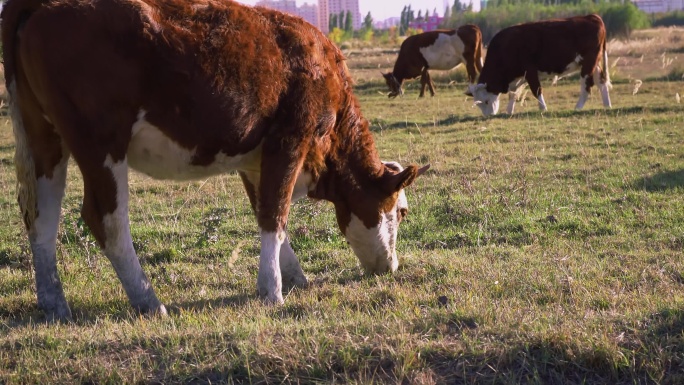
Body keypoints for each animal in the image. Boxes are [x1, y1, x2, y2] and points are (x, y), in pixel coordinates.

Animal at [1, 0, 428, 320]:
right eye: (401, 211)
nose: (391, 267)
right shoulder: (290, 140)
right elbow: (276, 215)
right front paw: (272, 290)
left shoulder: (255, 159)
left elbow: (267, 212)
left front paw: (294, 276)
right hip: (100, 141)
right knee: (105, 218)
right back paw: (148, 301)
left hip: (45, 140)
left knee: (41, 218)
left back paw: (54, 304)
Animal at [468, 14, 612, 115]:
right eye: (479, 104)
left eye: (486, 101)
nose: (489, 115)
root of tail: (592, 16)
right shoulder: (519, 76)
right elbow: (514, 93)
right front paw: (509, 110)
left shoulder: (530, 71)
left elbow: (536, 89)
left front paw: (543, 108)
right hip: (595, 64)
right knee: (601, 82)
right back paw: (607, 105)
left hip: (588, 64)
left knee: (587, 86)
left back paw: (578, 107)